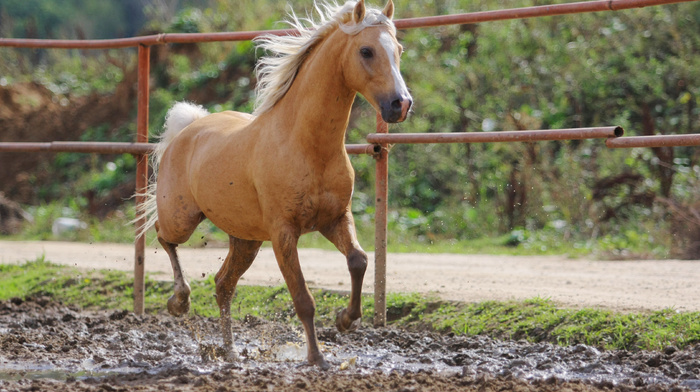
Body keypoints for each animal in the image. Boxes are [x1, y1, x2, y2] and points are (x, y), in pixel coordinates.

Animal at [136, 0, 410, 370]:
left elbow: (359, 260)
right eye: (366, 51)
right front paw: (316, 358)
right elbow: (303, 298)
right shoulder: (284, 233)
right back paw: (180, 301)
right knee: (165, 238)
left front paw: (345, 320)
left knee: (223, 284)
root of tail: (188, 128)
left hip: (246, 239)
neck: (307, 146)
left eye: (398, 50)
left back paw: (230, 352)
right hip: (182, 218)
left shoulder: (336, 219)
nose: (401, 104)